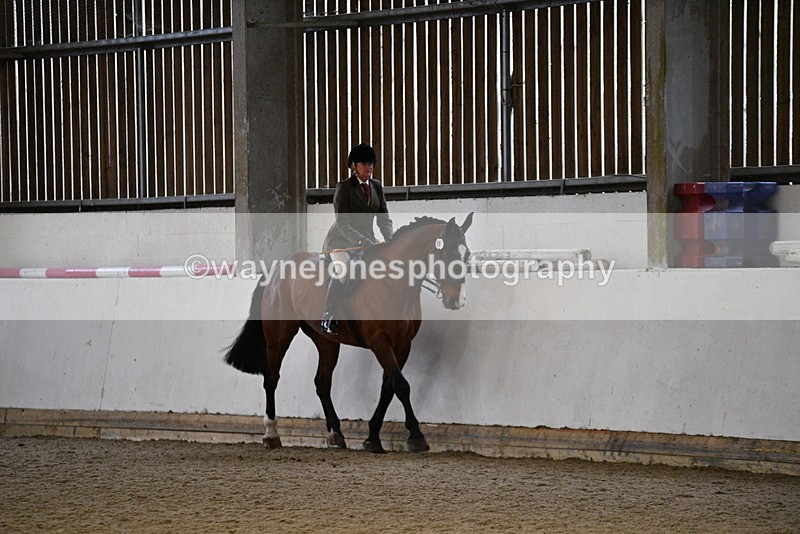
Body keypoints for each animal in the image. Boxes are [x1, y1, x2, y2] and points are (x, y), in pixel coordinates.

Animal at [224, 213, 474, 453]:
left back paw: (336, 434)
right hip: (279, 336)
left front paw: (372, 438)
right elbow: (401, 385)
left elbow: (389, 387)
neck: (393, 284)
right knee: (271, 378)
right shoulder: (379, 341)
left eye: (467, 255)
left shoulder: (403, 345)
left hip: (326, 341)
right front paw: (416, 436)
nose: (458, 300)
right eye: (446, 253)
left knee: (322, 382)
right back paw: (271, 434)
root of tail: (278, 267)